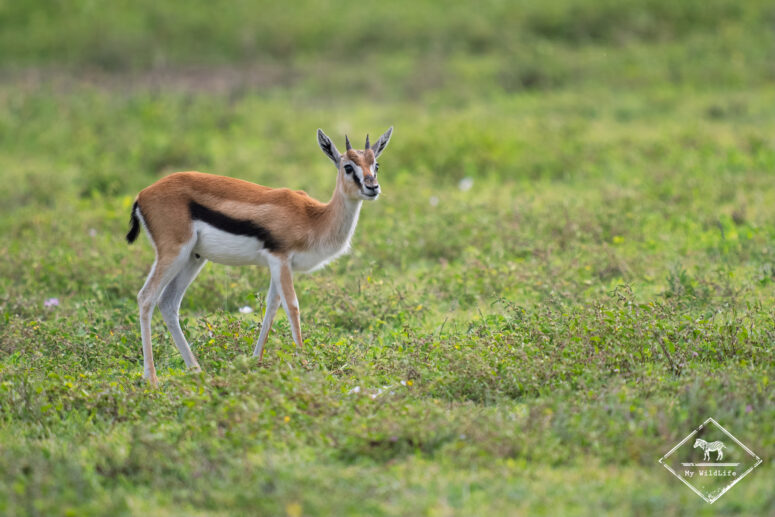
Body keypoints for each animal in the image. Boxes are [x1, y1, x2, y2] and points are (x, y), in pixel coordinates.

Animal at [126, 127, 393, 385]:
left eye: (376, 165)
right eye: (348, 167)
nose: (372, 187)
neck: (313, 217)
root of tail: (142, 195)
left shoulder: (279, 265)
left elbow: (272, 307)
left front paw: (255, 362)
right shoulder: (280, 259)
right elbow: (292, 307)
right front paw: (305, 365)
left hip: (194, 258)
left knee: (168, 302)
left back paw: (196, 370)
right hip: (173, 253)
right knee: (146, 297)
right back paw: (152, 379)